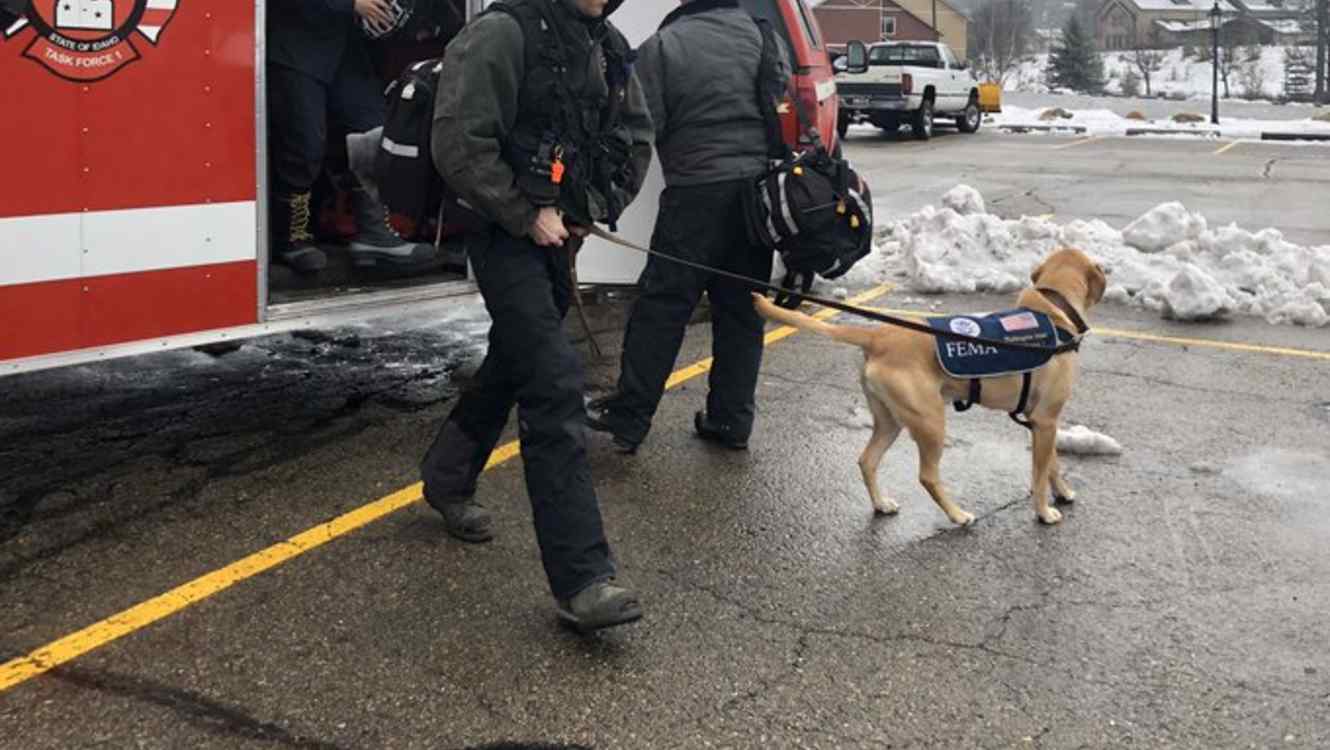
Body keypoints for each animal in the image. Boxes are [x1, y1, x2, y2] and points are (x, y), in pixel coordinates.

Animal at [755, 248, 1106, 523]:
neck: (1054, 308)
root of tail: (878, 336)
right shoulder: (1046, 420)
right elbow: (1040, 474)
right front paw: (1044, 512)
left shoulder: (1042, 421)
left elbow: (1052, 465)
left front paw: (1063, 493)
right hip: (930, 420)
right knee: (927, 476)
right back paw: (958, 515)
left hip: (890, 420)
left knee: (867, 461)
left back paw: (881, 504)